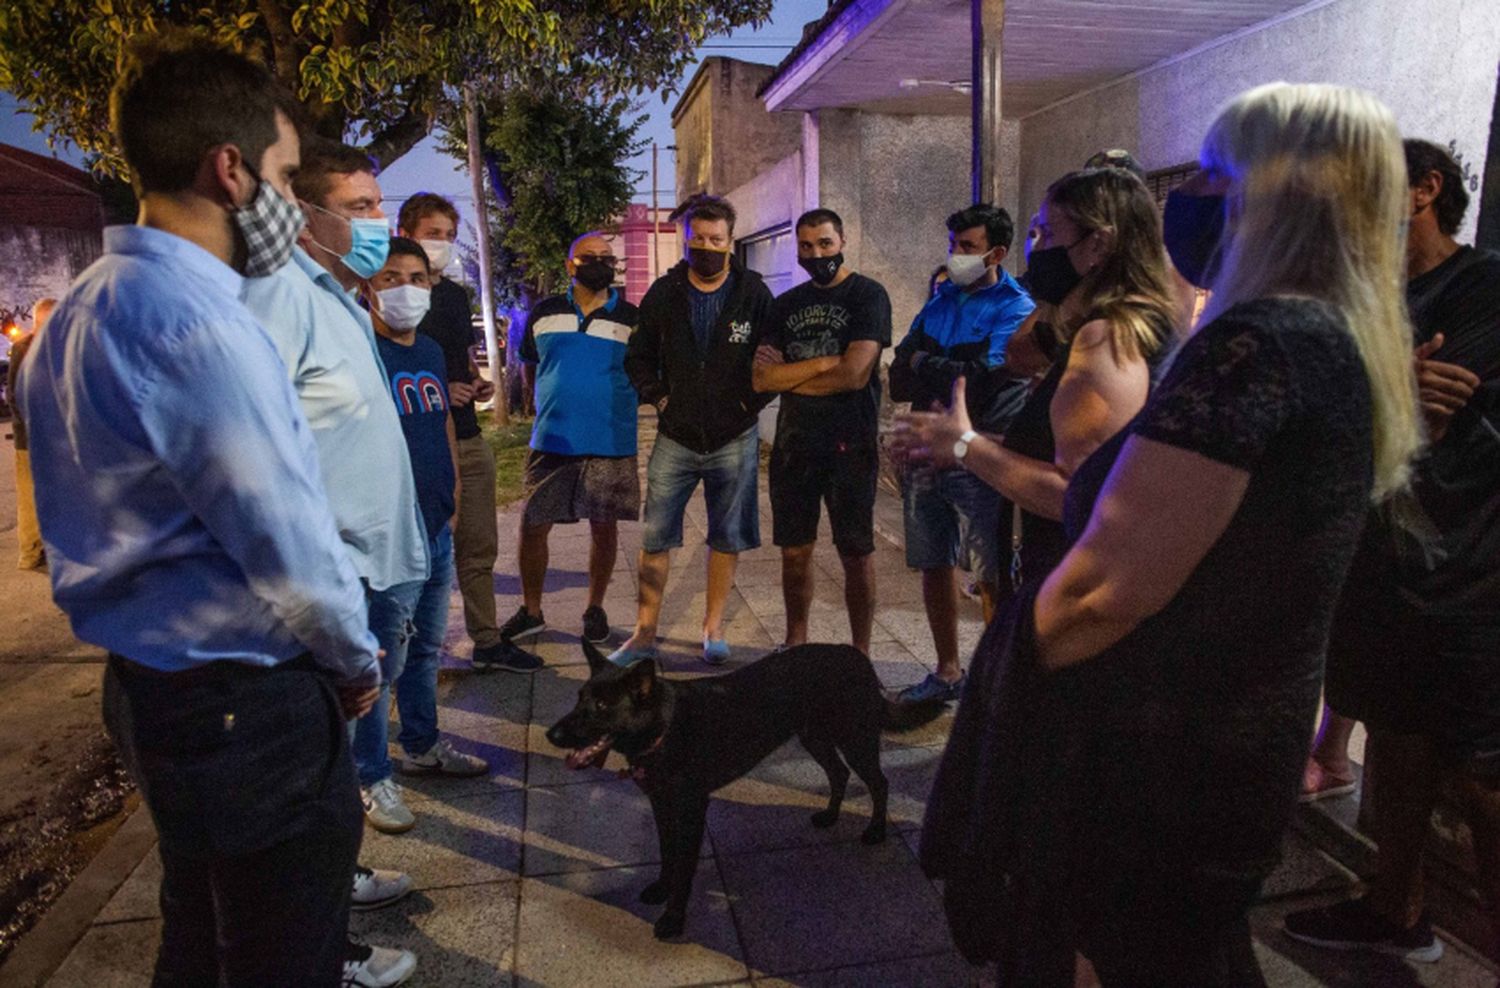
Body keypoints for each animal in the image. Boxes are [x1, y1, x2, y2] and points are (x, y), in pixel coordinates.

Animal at [549, 641, 924, 941]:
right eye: (579, 698)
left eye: (601, 706)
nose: (551, 735)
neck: (664, 727)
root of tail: (858, 656)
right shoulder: (661, 806)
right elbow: (667, 854)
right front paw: (662, 888)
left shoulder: (691, 812)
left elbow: (683, 868)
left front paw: (673, 919)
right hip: (814, 736)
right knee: (839, 773)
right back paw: (831, 815)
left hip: (854, 739)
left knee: (879, 782)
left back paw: (876, 830)